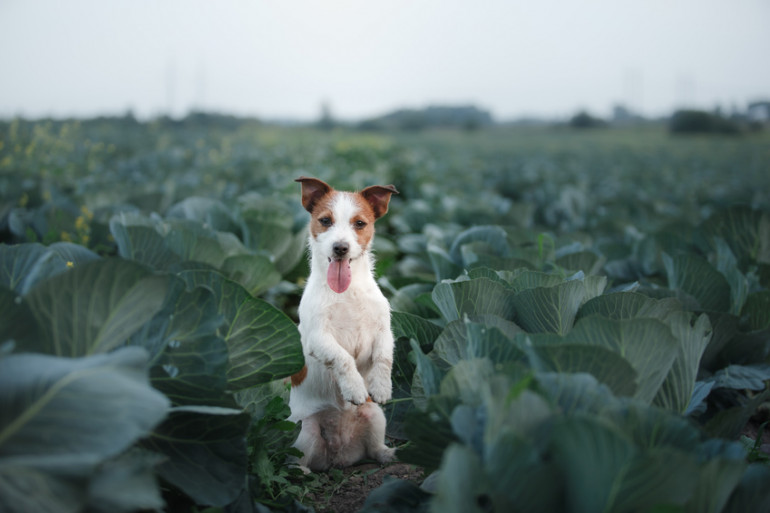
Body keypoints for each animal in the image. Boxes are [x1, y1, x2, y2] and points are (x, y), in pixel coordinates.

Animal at [288, 177, 396, 472]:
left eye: (360, 223)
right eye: (325, 221)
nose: (340, 248)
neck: (347, 292)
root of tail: (339, 456)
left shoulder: (384, 331)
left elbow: (384, 356)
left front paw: (380, 386)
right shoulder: (318, 338)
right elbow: (343, 358)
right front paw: (355, 388)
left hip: (375, 415)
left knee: (374, 449)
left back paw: (390, 454)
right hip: (304, 431)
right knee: (299, 460)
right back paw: (301, 471)